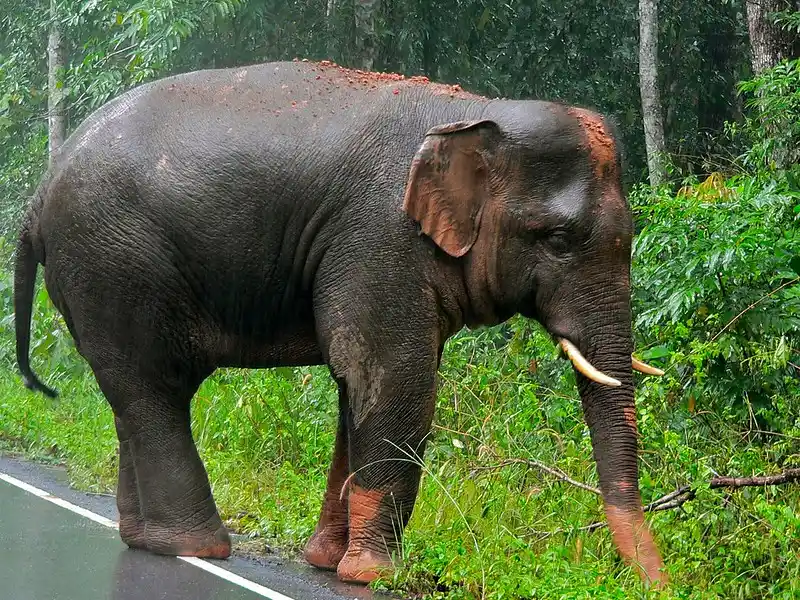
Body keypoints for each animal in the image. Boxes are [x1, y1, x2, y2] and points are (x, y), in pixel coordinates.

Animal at [15, 61, 668, 584]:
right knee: (154, 391)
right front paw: (374, 576)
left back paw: (146, 541)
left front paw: (328, 563)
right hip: (114, 263)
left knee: (134, 397)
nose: (656, 585)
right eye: (558, 239)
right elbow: (393, 381)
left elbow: (357, 390)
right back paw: (197, 547)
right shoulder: (381, 238)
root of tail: (38, 195)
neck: (477, 114)